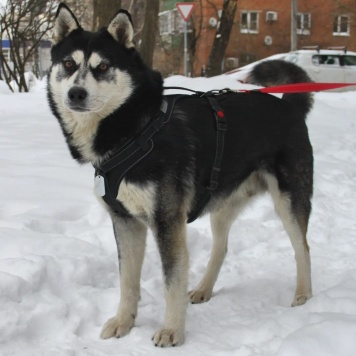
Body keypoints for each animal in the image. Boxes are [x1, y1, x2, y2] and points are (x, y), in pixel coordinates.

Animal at [47, 3, 314, 348]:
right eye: (68, 63)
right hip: (222, 204)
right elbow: (127, 281)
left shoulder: (167, 221)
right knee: (221, 248)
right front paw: (124, 322)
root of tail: (288, 106)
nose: (76, 94)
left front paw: (172, 330)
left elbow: (171, 282)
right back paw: (203, 289)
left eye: (103, 66)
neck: (135, 130)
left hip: (289, 201)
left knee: (302, 248)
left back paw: (304, 296)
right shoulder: (125, 221)